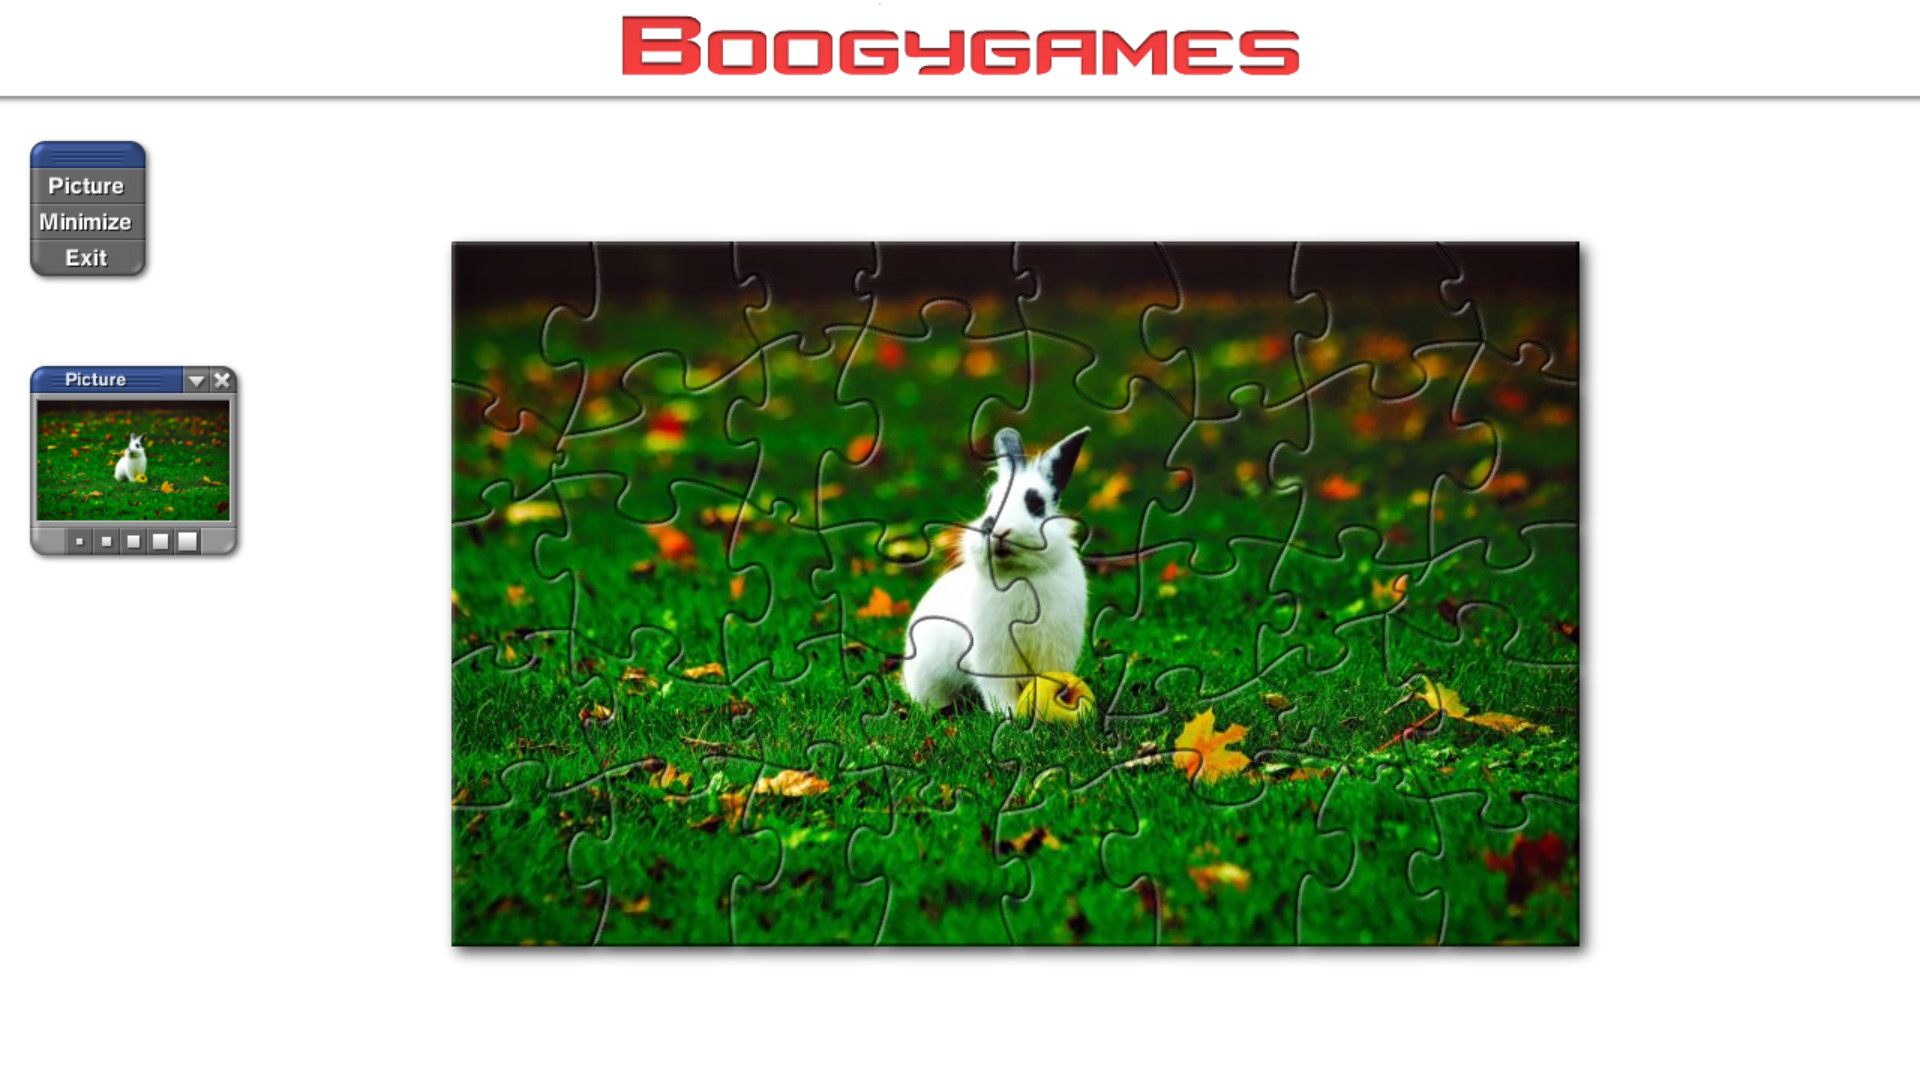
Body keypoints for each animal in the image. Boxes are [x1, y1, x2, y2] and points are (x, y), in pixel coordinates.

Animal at [903, 426, 1091, 715]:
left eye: (1036, 504)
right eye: (989, 500)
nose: (995, 529)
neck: (1019, 576)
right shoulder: (992, 658)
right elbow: (998, 691)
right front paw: (1009, 715)